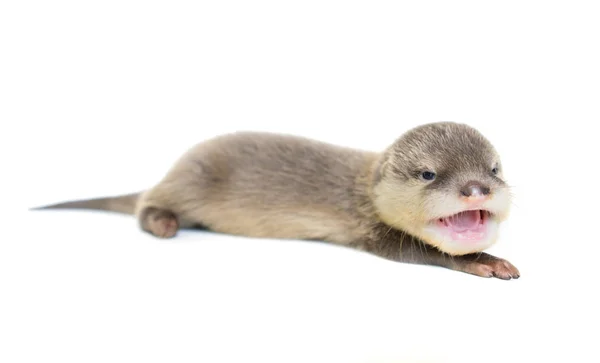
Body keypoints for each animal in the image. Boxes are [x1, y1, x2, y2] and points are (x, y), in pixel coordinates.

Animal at [32, 123, 520, 282]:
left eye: (494, 169)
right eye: (429, 174)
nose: (477, 188)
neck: (365, 192)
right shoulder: (373, 232)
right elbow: (418, 251)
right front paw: (485, 262)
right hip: (188, 179)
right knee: (145, 206)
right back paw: (164, 224)